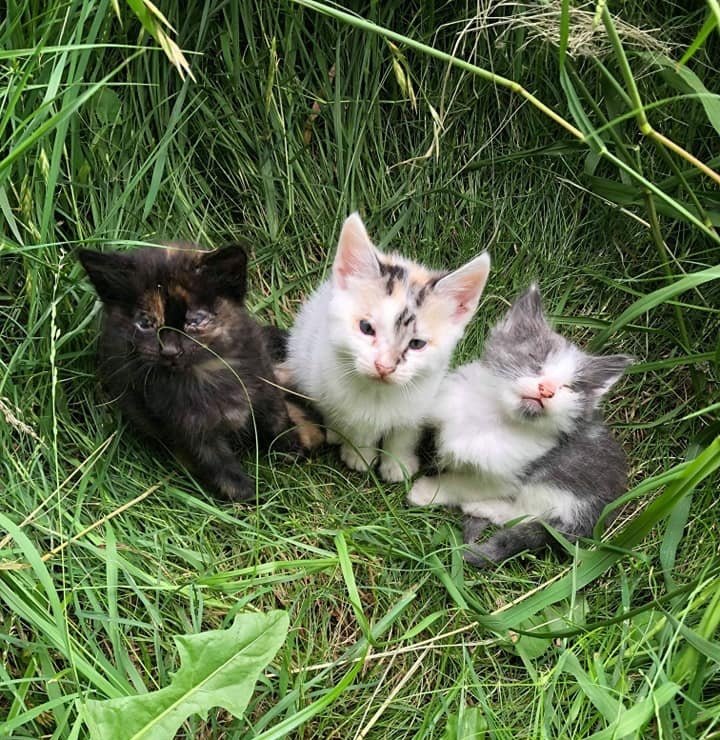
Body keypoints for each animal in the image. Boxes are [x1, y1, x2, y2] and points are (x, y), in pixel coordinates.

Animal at [79, 243, 304, 502]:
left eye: (194, 320)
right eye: (145, 323)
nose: (169, 350)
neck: (205, 373)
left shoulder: (263, 380)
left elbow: (275, 417)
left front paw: (291, 448)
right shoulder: (186, 428)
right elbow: (217, 465)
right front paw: (245, 497)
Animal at [284, 211, 492, 482]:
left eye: (417, 344)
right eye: (366, 328)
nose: (384, 366)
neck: (379, 395)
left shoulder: (421, 402)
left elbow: (404, 434)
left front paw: (397, 464)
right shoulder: (335, 391)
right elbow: (357, 425)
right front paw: (360, 455)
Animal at [408, 284, 632, 568]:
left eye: (569, 387)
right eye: (535, 360)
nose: (546, 389)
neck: (493, 418)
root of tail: (598, 515)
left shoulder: (510, 473)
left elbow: (464, 483)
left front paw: (427, 490)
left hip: (560, 487)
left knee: (534, 517)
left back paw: (485, 508)